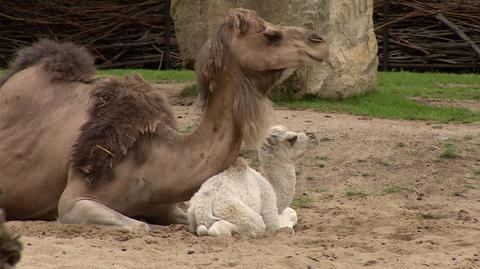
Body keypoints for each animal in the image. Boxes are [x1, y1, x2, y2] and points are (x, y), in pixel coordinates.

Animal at [188, 125, 318, 237]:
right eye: (291, 138)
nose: (313, 137)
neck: (273, 189)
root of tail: (203, 204)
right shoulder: (269, 208)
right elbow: (282, 221)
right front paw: (288, 229)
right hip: (236, 212)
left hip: (192, 215)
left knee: (201, 229)